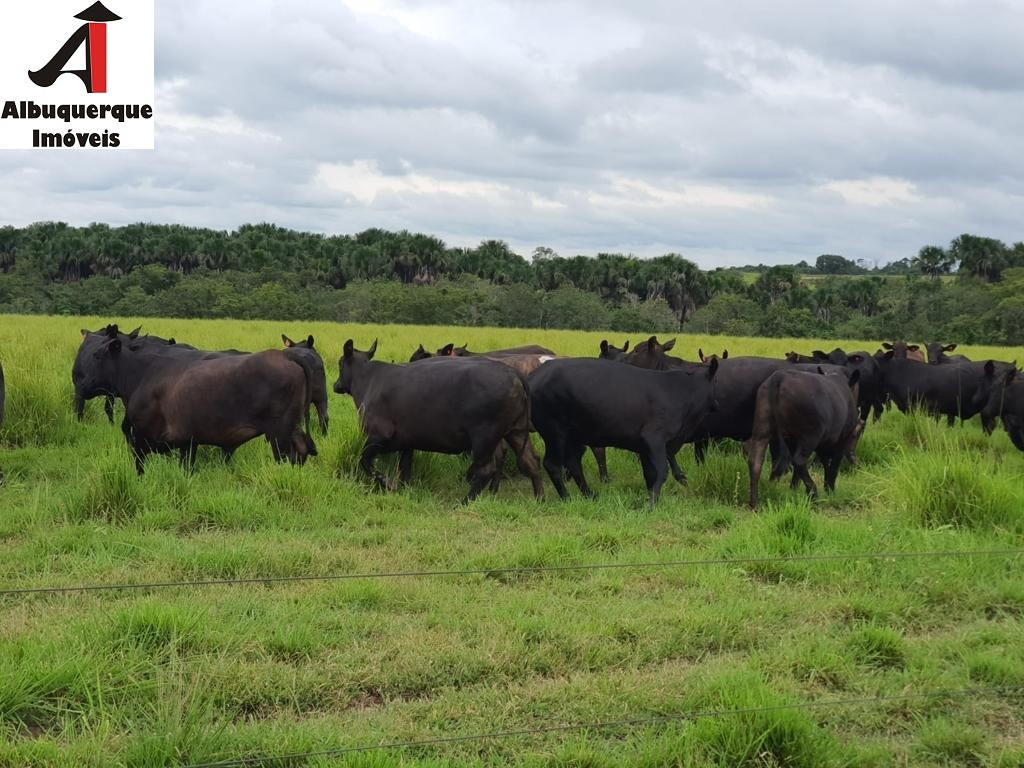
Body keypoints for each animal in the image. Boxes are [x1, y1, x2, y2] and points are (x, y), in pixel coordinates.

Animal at [79, 325, 313, 473]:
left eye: (97, 355)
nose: (81, 382)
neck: (140, 375)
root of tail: (285, 356)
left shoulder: (142, 438)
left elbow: (140, 468)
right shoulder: (187, 442)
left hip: (279, 431)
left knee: (289, 455)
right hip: (292, 426)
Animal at [335, 339, 544, 501]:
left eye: (339, 364)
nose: (336, 385)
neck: (369, 380)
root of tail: (513, 374)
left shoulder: (379, 436)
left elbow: (364, 460)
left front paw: (388, 483)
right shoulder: (407, 442)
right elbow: (405, 468)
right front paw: (402, 489)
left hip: (485, 437)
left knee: (486, 470)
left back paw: (464, 502)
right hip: (516, 431)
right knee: (531, 461)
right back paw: (539, 500)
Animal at [528, 358, 720, 507]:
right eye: (716, 382)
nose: (718, 404)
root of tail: (536, 374)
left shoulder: (646, 447)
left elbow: (650, 474)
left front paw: (651, 497)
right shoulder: (654, 438)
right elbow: (662, 470)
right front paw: (651, 504)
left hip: (574, 436)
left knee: (573, 463)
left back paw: (590, 495)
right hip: (555, 433)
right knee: (552, 464)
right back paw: (567, 497)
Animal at [745, 368, 864, 507]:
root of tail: (780, 377)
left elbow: (825, 464)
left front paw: (796, 488)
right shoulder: (842, 439)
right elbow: (833, 466)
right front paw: (830, 490)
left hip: (762, 430)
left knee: (756, 462)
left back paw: (755, 503)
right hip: (809, 436)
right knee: (799, 461)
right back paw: (813, 494)